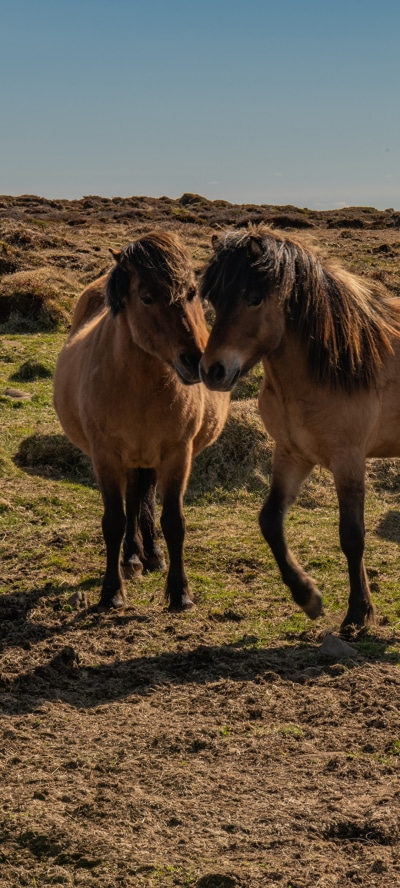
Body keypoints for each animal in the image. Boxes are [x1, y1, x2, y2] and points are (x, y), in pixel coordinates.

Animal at [54, 230, 230, 611]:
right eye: (147, 298)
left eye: (192, 293)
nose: (195, 362)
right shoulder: (105, 455)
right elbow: (114, 521)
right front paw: (111, 592)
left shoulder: (178, 453)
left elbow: (173, 521)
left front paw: (180, 592)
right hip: (130, 458)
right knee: (133, 502)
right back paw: (133, 557)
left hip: (147, 458)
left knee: (141, 498)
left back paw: (150, 555)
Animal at [199, 225, 400, 632]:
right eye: (213, 297)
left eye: (254, 298)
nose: (213, 371)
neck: (334, 365)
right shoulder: (291, 453)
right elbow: (270, 520)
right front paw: (307, 595)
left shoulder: (348, 460)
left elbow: (352, 536)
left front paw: (358, 613)